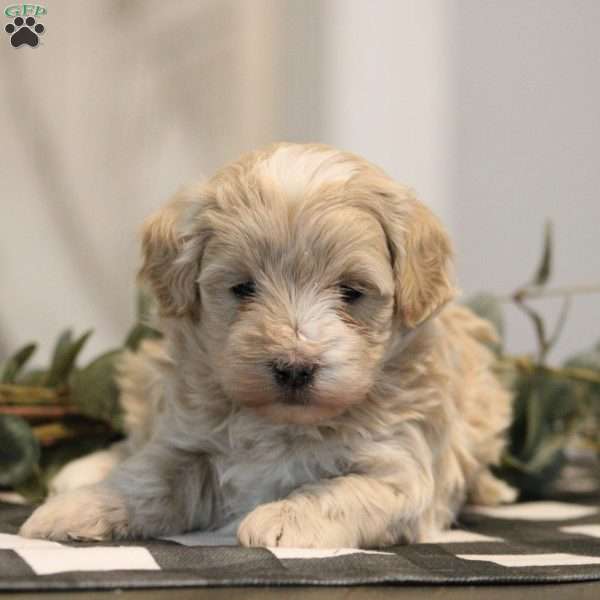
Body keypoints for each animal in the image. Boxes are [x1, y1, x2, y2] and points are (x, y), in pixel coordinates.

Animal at [19, 143, 516, 548]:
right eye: (243, 288)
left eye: (351, 292)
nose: (294, 367)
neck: (283, 424)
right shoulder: (189, 439)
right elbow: (150, 476)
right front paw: (83, 507)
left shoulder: (398, 468)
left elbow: (343, 491)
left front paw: (285, 519)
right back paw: (82, 473)